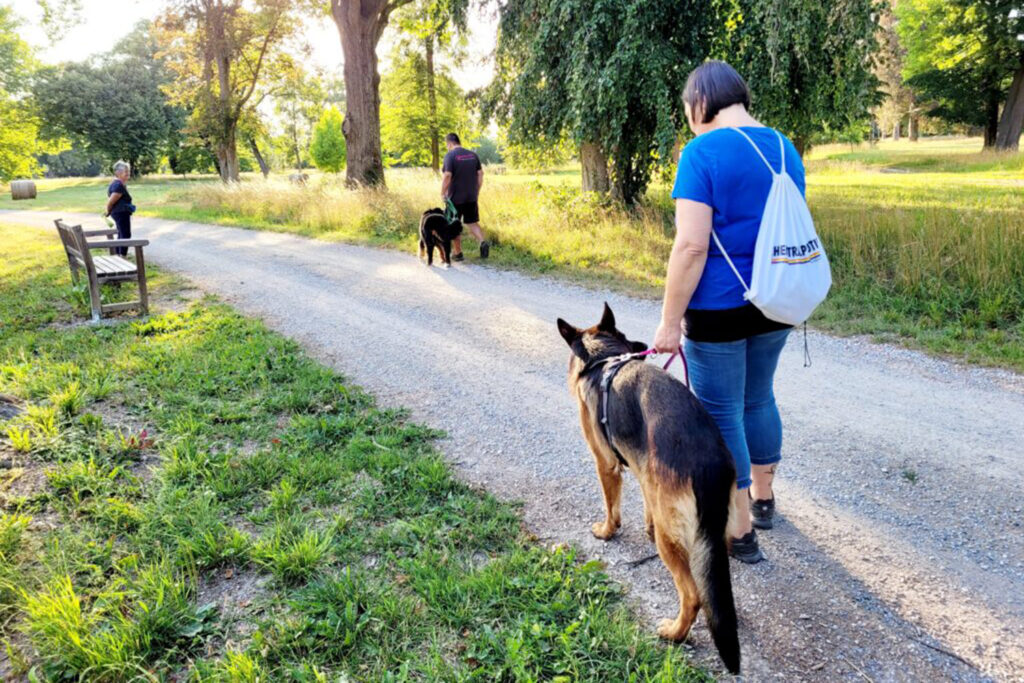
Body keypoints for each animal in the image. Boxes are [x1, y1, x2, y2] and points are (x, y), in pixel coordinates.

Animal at [557, 307, 741, 675]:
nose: (642, 346)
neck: (603, 359)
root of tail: (709, 461)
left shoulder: (606, 464)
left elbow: (611, 505)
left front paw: (606, 530)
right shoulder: (645, 473)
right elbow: (645, 505)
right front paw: (645, 525)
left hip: (671, 543)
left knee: (692, 595)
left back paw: (675, 633)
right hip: (712, 535)